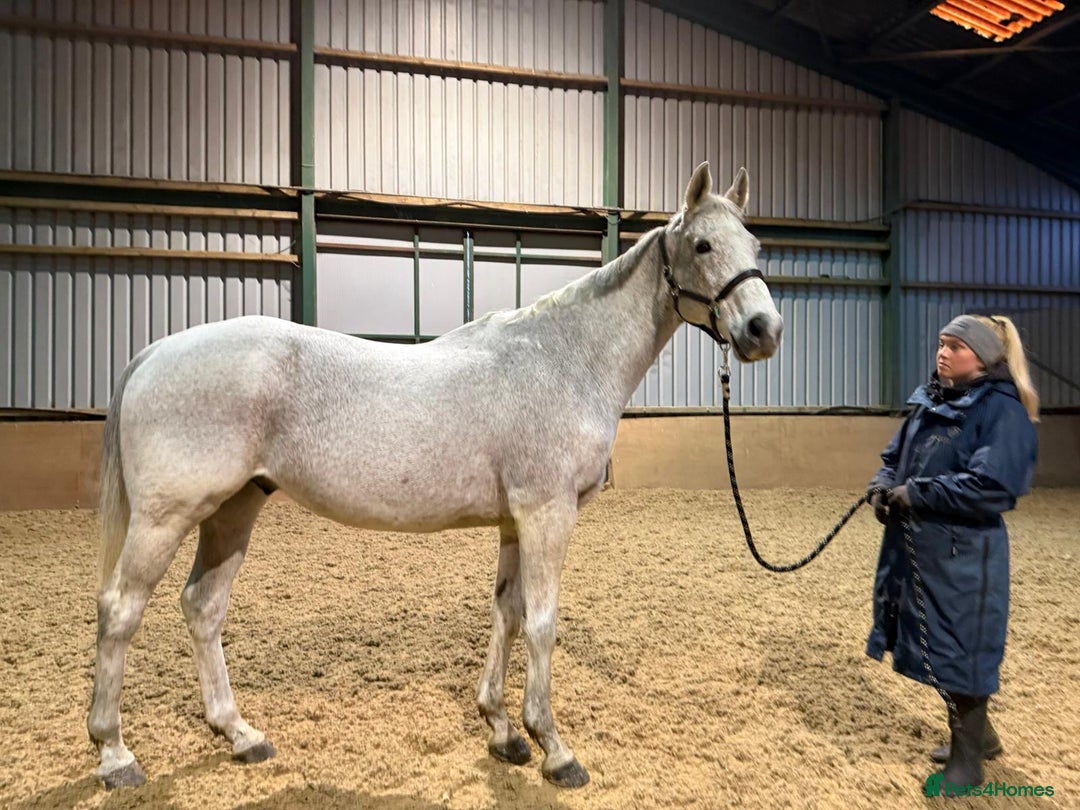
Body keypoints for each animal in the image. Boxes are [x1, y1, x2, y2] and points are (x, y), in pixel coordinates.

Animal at [87, 162, 783, 790]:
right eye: (702, 244)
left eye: (754, 247)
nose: (763, 330)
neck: (564, 359)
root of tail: (156, 350)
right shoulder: (548, 513)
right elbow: (542, 623)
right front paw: (553, 748)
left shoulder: (514, 522)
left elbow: (506, 614)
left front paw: (501, 730)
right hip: (166, 517)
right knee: (121, 609)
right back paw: (115, 755)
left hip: (234, 508)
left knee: (203, 607)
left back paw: (239, 734)